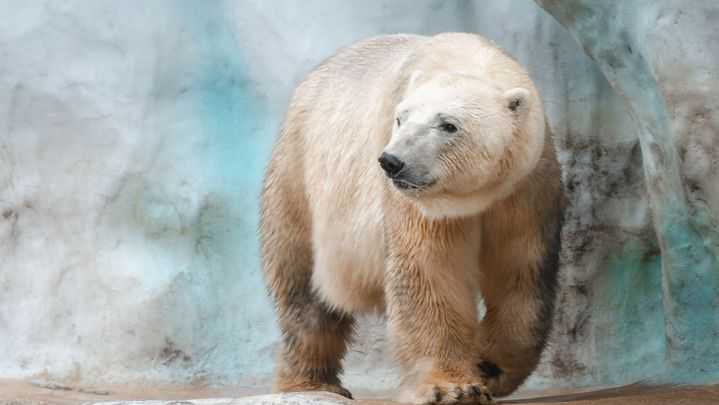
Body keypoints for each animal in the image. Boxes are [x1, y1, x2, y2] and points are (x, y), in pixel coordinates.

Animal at [262, 32, 564, 404]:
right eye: (400, 118)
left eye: (448, 125)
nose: (392, 161)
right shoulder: (421, 204)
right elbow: (429, 272)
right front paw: (453, 387)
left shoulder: (526, 186)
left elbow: (521, 272)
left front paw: (489, 366)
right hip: (298, 176)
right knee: (303, 290)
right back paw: (312, 383)